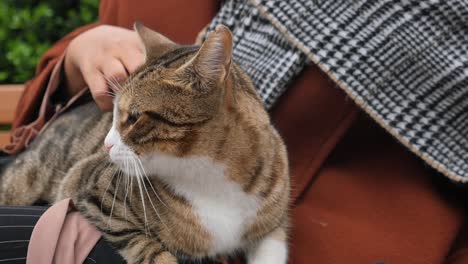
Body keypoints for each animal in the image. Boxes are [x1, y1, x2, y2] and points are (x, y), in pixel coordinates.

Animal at [0, 23, 290, 264]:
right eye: (113, 114)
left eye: (134, 117)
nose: (105, 145)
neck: (212, 178)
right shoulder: (92, 192)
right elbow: (143, 245)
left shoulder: (273, 220)